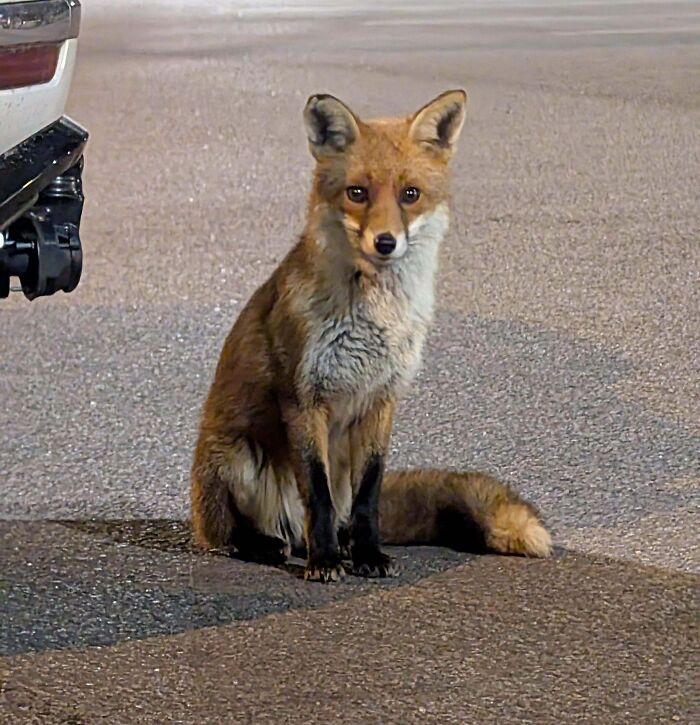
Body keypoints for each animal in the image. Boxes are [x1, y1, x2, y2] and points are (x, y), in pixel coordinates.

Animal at [191, 90, 552, 582]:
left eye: (410, 195)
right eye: (357, 193)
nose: (385, 242)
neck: (374, 319)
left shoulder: (382, 398)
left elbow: (370, 495)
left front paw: (367, 553)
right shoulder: (304, 398)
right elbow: (317, 495)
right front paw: (325, 561)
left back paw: (339, 543)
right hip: (238, 459)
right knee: (235, 537)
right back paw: (273, 545)